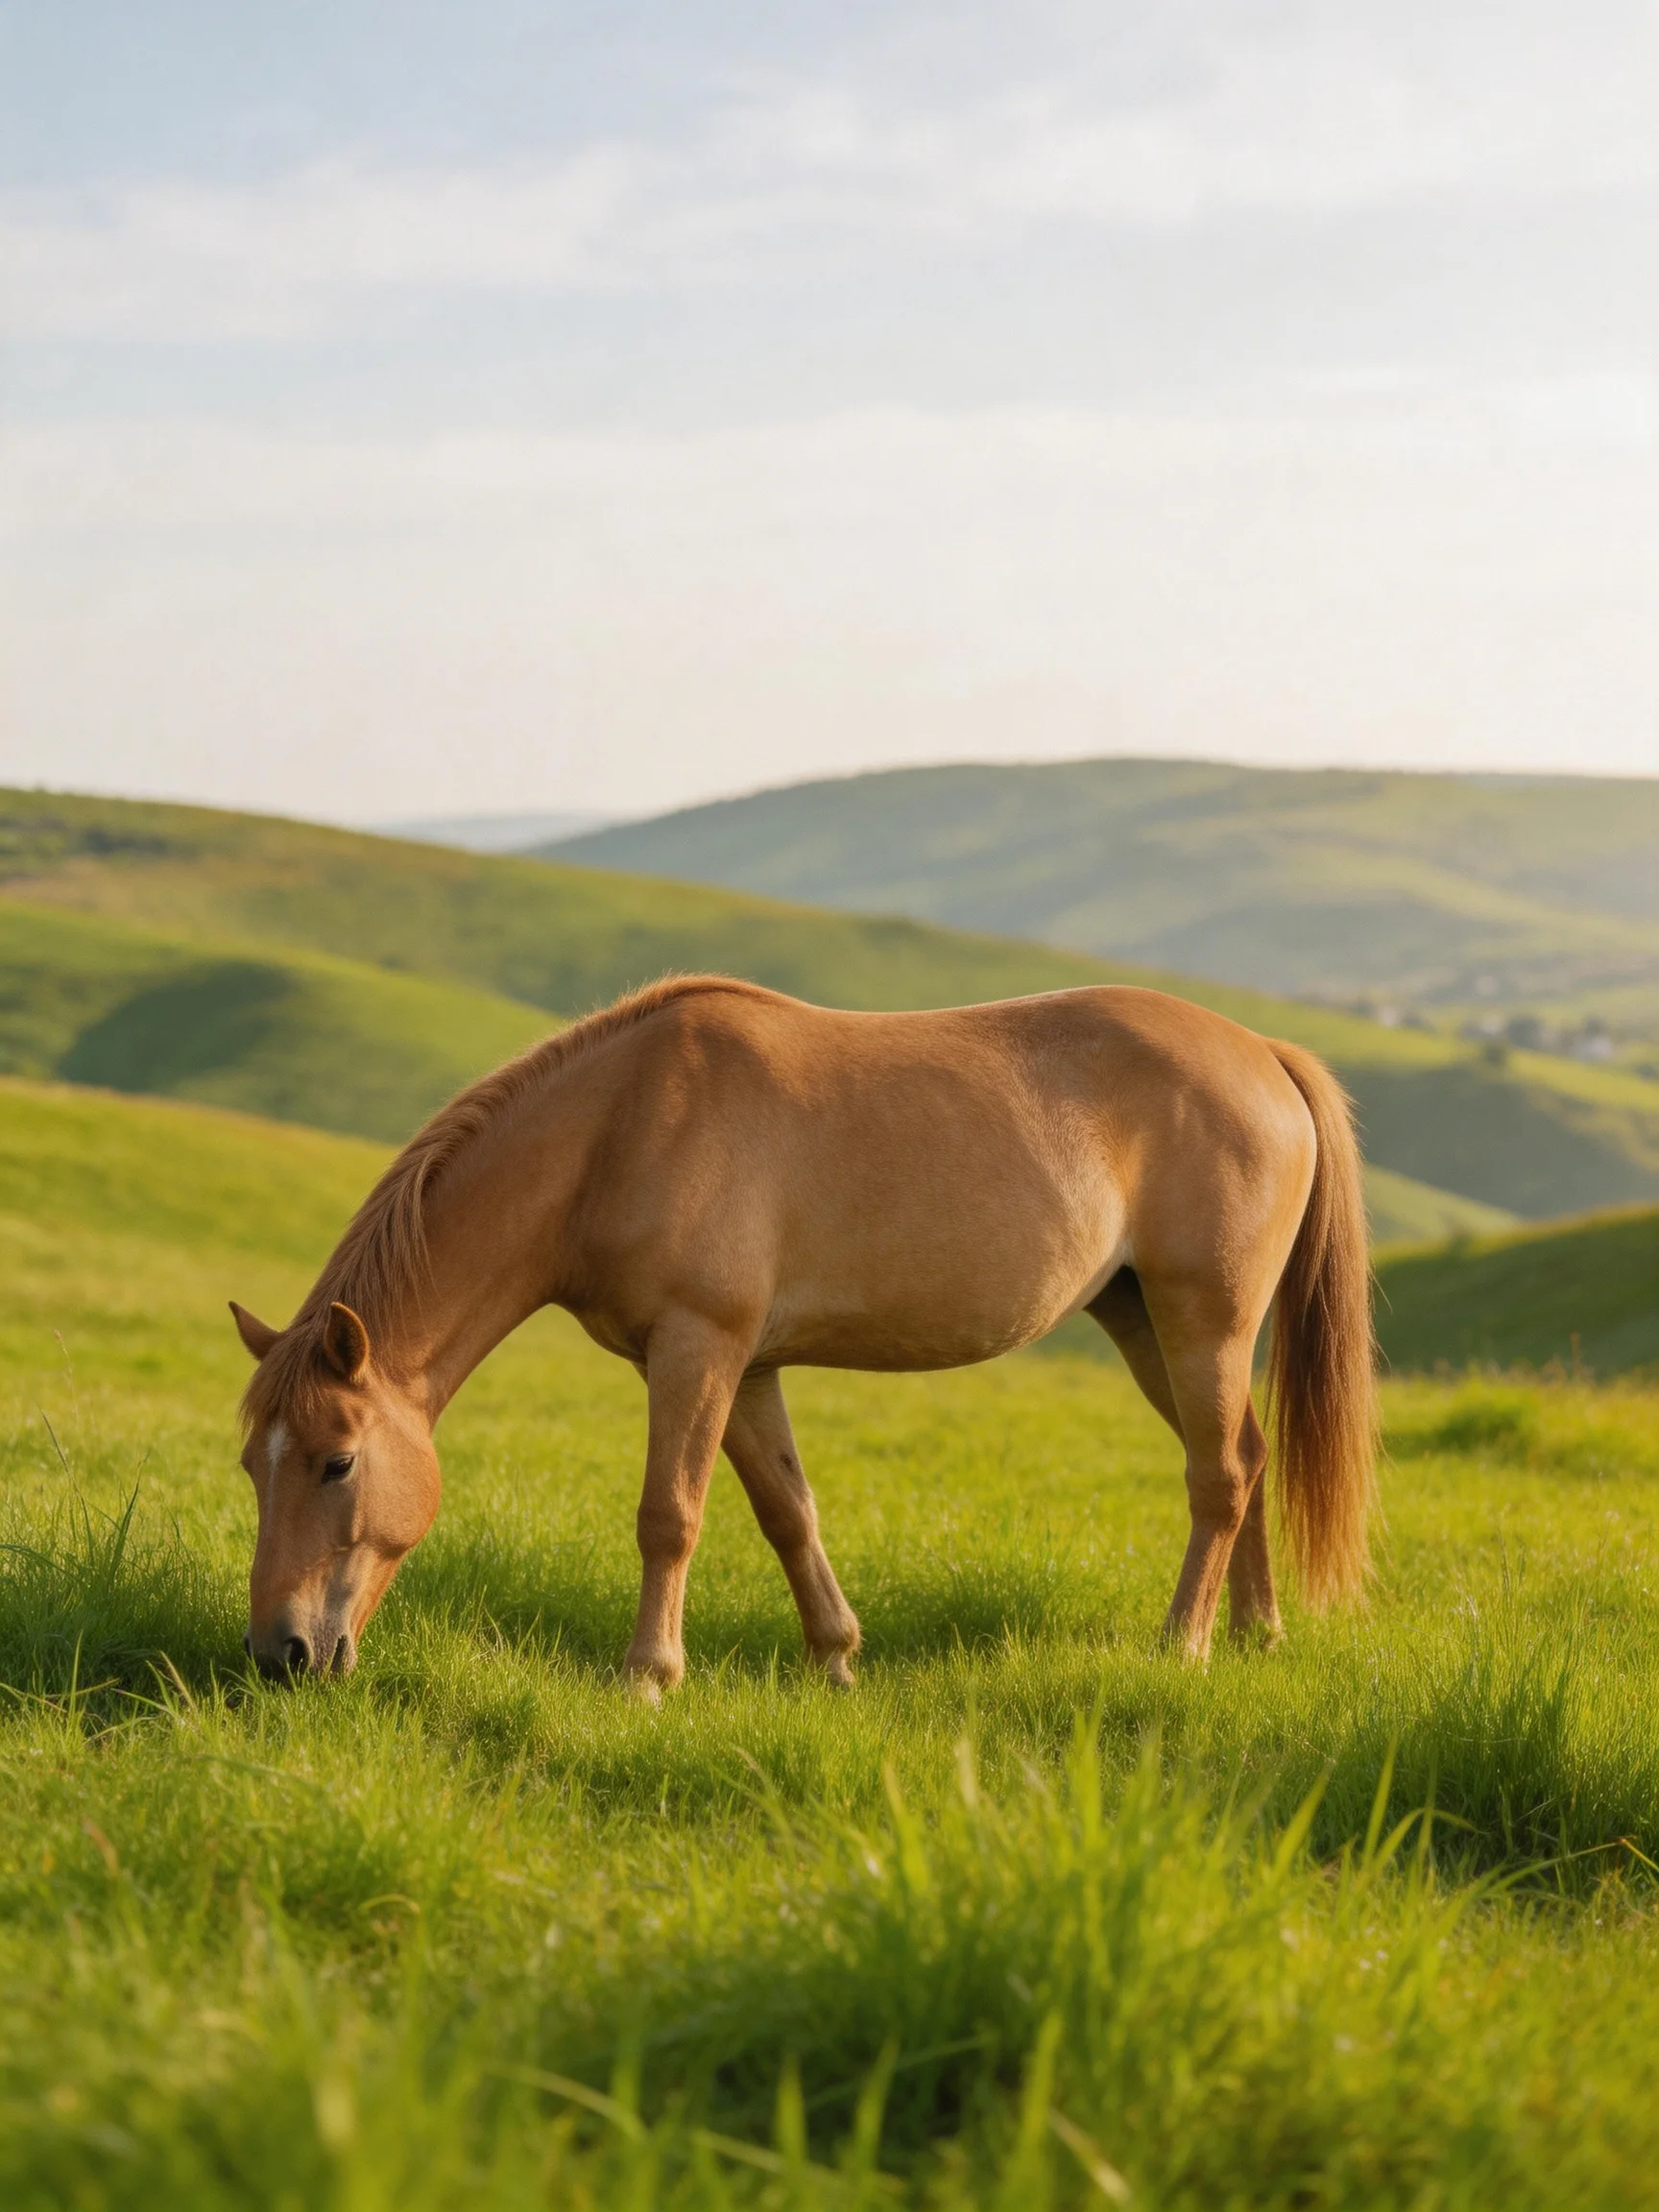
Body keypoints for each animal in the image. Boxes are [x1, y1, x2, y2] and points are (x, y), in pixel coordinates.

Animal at [231, 975, 1375, 1693]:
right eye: (253, 1465)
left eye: (337, 1462)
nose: (280, 1653)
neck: (622, 1127)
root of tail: (1264, 1055)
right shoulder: (748, 1368)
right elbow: (787, 1513)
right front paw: (836, 1658)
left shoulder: (698, 1349)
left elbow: (669, 1516)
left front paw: (649, 1678)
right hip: (1144, 1322)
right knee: (1247, 1461)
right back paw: (1255, 1636)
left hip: (1203, 1323)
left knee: (1218, 1477)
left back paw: (1183, 1648)